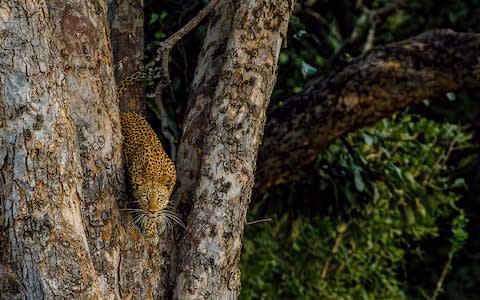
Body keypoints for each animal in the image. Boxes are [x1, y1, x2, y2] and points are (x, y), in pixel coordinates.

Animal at [117, 67, 183, 237]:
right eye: (146, 197)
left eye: (159, 197)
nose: (153, 211)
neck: (154, 172)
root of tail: (124, 114)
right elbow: (141, 210)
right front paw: (151, 228)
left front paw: (159, 219)